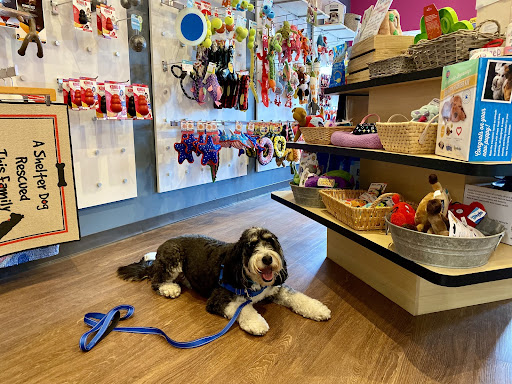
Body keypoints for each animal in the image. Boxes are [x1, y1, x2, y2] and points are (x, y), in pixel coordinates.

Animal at [118, 226, 330, 334]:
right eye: (251, 246)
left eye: (270, 242)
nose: (267, 258)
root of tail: (159, 252)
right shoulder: (218, 299)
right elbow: (242, 307)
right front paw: (256, 323)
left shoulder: (274, 288)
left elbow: (296, 296)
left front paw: (317, 309)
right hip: (172, 258)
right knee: (156, 281)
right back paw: (169, 288)